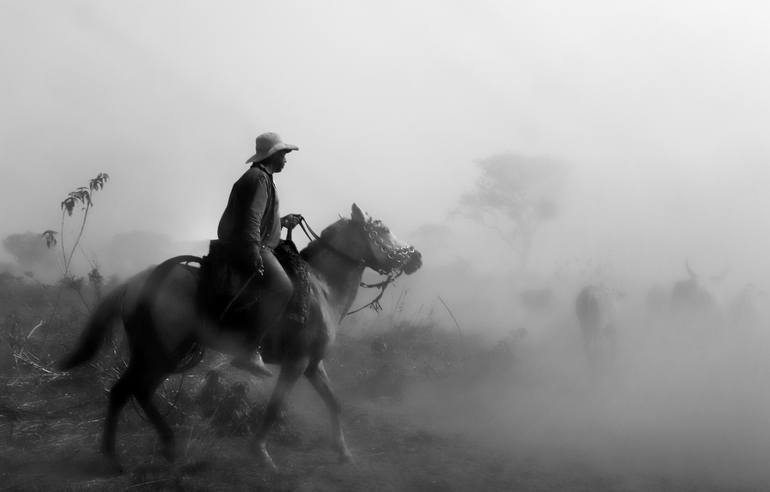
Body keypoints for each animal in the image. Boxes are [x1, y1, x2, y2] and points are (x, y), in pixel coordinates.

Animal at [58, 203, 420, 468]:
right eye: (383, 230)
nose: (415, 257)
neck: (322, 287)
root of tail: (137, 282)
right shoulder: (297, 362)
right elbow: (275, 407)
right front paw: (260, 452)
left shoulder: (313, 365)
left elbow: (334, 402)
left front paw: (343, 452)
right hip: (161, 353)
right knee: (131, 390)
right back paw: (128, 453)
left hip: (157, 352)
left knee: (130, 391)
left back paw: (146, 450)